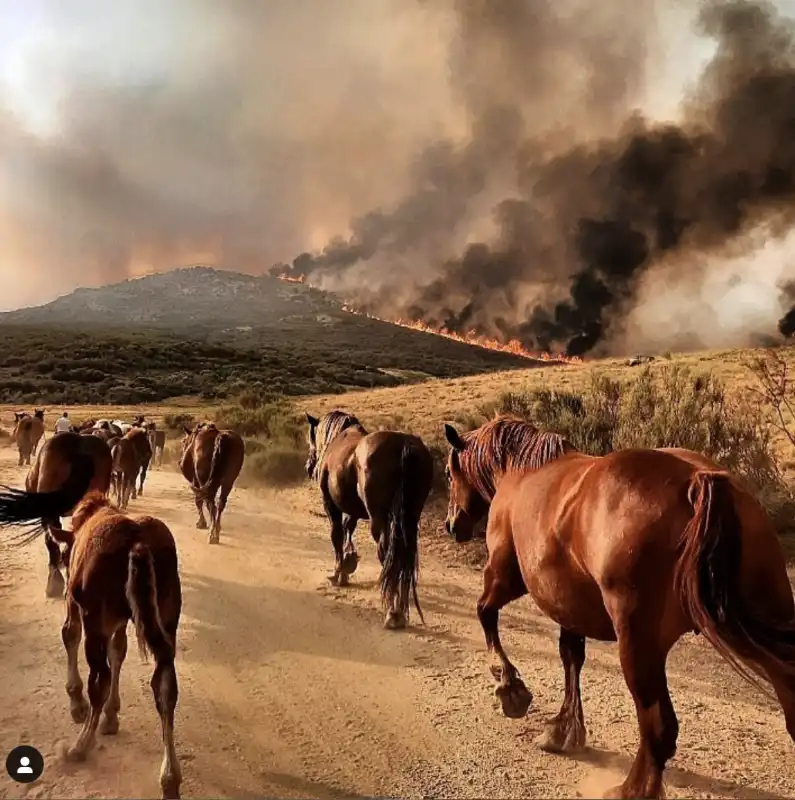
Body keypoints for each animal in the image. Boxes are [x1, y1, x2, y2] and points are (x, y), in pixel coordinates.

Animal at [0, 490, 182, 796]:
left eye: (67, 552)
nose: (64, 559)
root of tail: (138, 541)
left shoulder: (78, 605)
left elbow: (70, 634)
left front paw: (78, 703)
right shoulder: (119, 621)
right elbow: (119, 651)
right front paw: (111, 715)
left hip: (96, 620)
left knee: (100, 678)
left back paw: (80, 744)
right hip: (167, 620)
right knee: (165, 685)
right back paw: (170, 777)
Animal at [306, 412, 436, 632]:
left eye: (311, 439)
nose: (308, 467)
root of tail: (404, 445)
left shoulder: (331, 505)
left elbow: (337, 534)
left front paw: (338, 572)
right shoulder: (355, 510)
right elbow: (348, 528)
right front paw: (348, 563)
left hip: (380, 520)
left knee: (388, 555)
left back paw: (393, 612)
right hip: (410, 519)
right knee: (404, 557)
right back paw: (401, 608)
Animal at [444, 418, 792, 800]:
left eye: (448, 473)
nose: (452, 525)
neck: (520, 471)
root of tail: (699, 480)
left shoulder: (505, 579)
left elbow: (485, 613)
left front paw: (510, 689)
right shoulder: (570, 607)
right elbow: (571, 658)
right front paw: (563, 730)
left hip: (637, 645)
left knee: (658, 727)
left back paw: (632, 789)